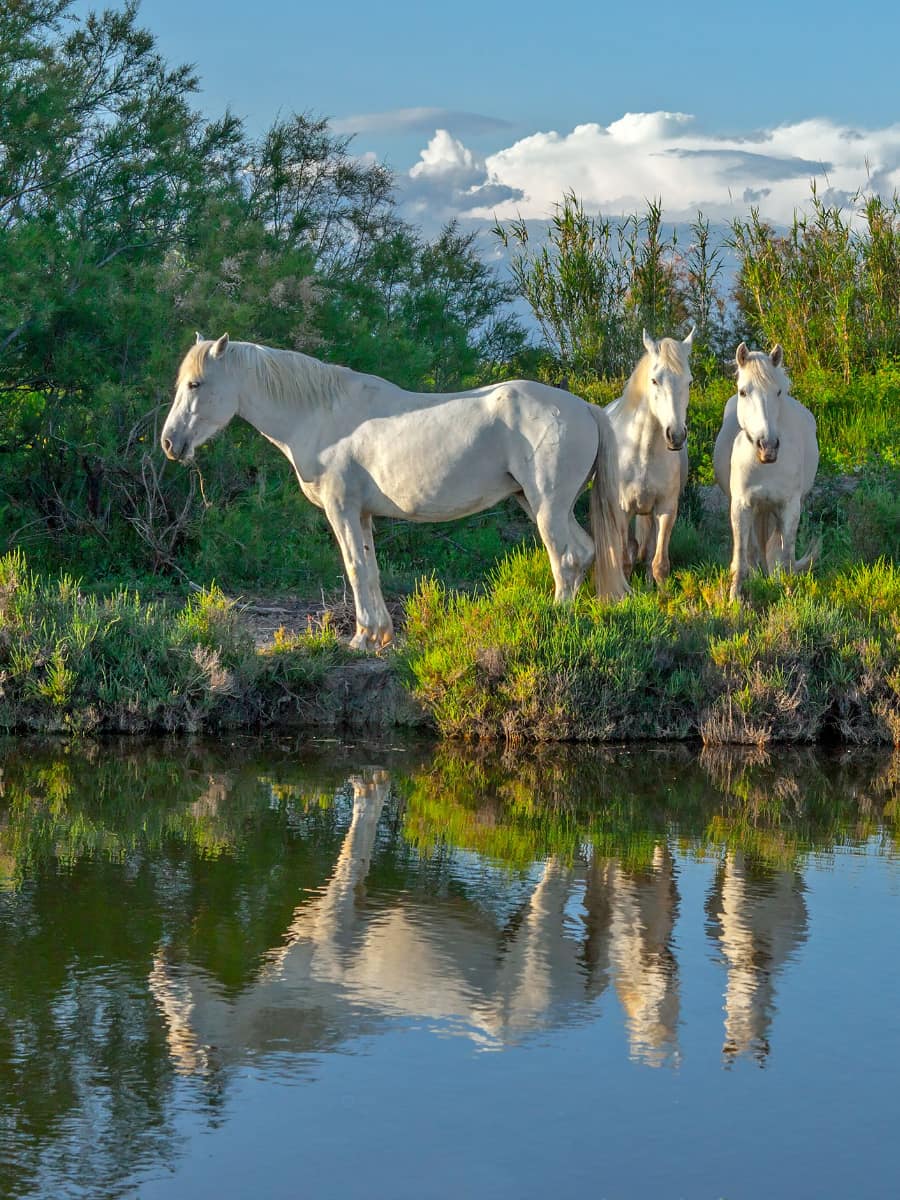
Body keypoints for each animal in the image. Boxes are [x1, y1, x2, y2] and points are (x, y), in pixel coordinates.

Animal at [160, 333, 628, 652]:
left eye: (196, 384)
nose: (169, 442)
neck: (321, 415)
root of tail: (585, 408)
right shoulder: (362, 514)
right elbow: (370, 568)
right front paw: (378, 635)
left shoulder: (341, 510)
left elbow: (354, 568)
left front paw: (361, 639)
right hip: (536, 503)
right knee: (585, 552)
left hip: (547, 507)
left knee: (566, 557)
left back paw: (555, 621)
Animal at [607, 328, 696, 580]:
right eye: (655, 380)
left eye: (689, 381)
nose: (676, 435)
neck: (642, 453)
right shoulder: (623, 509)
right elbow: (625, 560)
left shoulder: (666, 508)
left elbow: (659, 564)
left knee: (647, 550)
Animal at [715, 343, 820, 600]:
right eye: (743, 392)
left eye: (778, 392)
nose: (768, 446)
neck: (765, 466)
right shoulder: (741, 505)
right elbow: (742, 554)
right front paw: (734, 599)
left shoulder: (790, 507)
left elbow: (785, 554)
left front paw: (788, 592)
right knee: (753, 549)